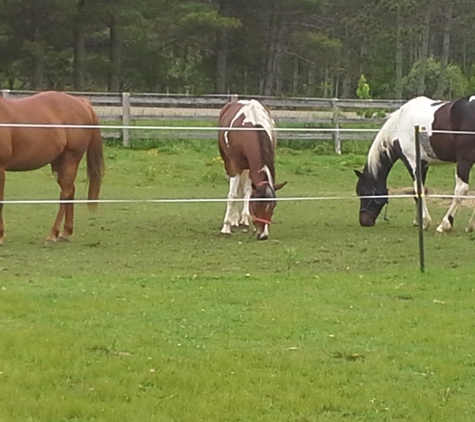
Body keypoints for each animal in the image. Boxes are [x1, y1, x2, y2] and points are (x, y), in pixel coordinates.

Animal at [0, 92, 104, 244]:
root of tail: (81, 102)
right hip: (58, 165)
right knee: (70, 190)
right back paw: (65, 232)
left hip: (71, 159)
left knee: (65, 193)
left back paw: (53, 234)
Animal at [218, 97, 286, 239]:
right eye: (256, 204)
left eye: (273, 205)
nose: (263, 235)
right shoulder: (234, 167)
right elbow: (232, 196)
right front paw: (226, 226)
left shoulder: (251, 168)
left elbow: (248, 192)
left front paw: (245, 219)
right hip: (229, 164)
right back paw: (233, 219)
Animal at [356, 95, 475, 232]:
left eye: (364, 192)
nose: (364, 221)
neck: (400, 124)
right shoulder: (424, 165)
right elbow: (418, 191)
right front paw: (418, 220)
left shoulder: (412, 162)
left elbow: (418, 189)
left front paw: (425, 222)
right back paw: (471, 225)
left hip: (464, 161)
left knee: (461, 189)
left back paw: (444, 225)